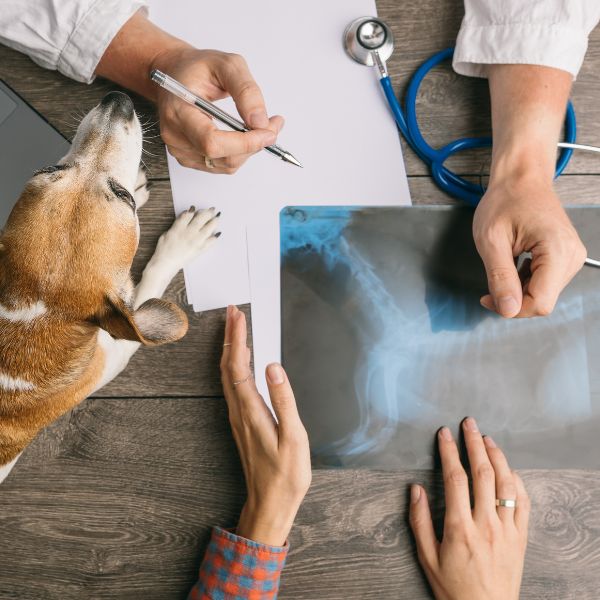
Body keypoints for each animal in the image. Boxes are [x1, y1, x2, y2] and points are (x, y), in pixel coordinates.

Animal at [0, 92, 220, 482]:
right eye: (125, 200)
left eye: (47, 169)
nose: (117, 101)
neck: (35, 313)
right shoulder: (113, 354)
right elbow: (148, 283)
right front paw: (184, 240)